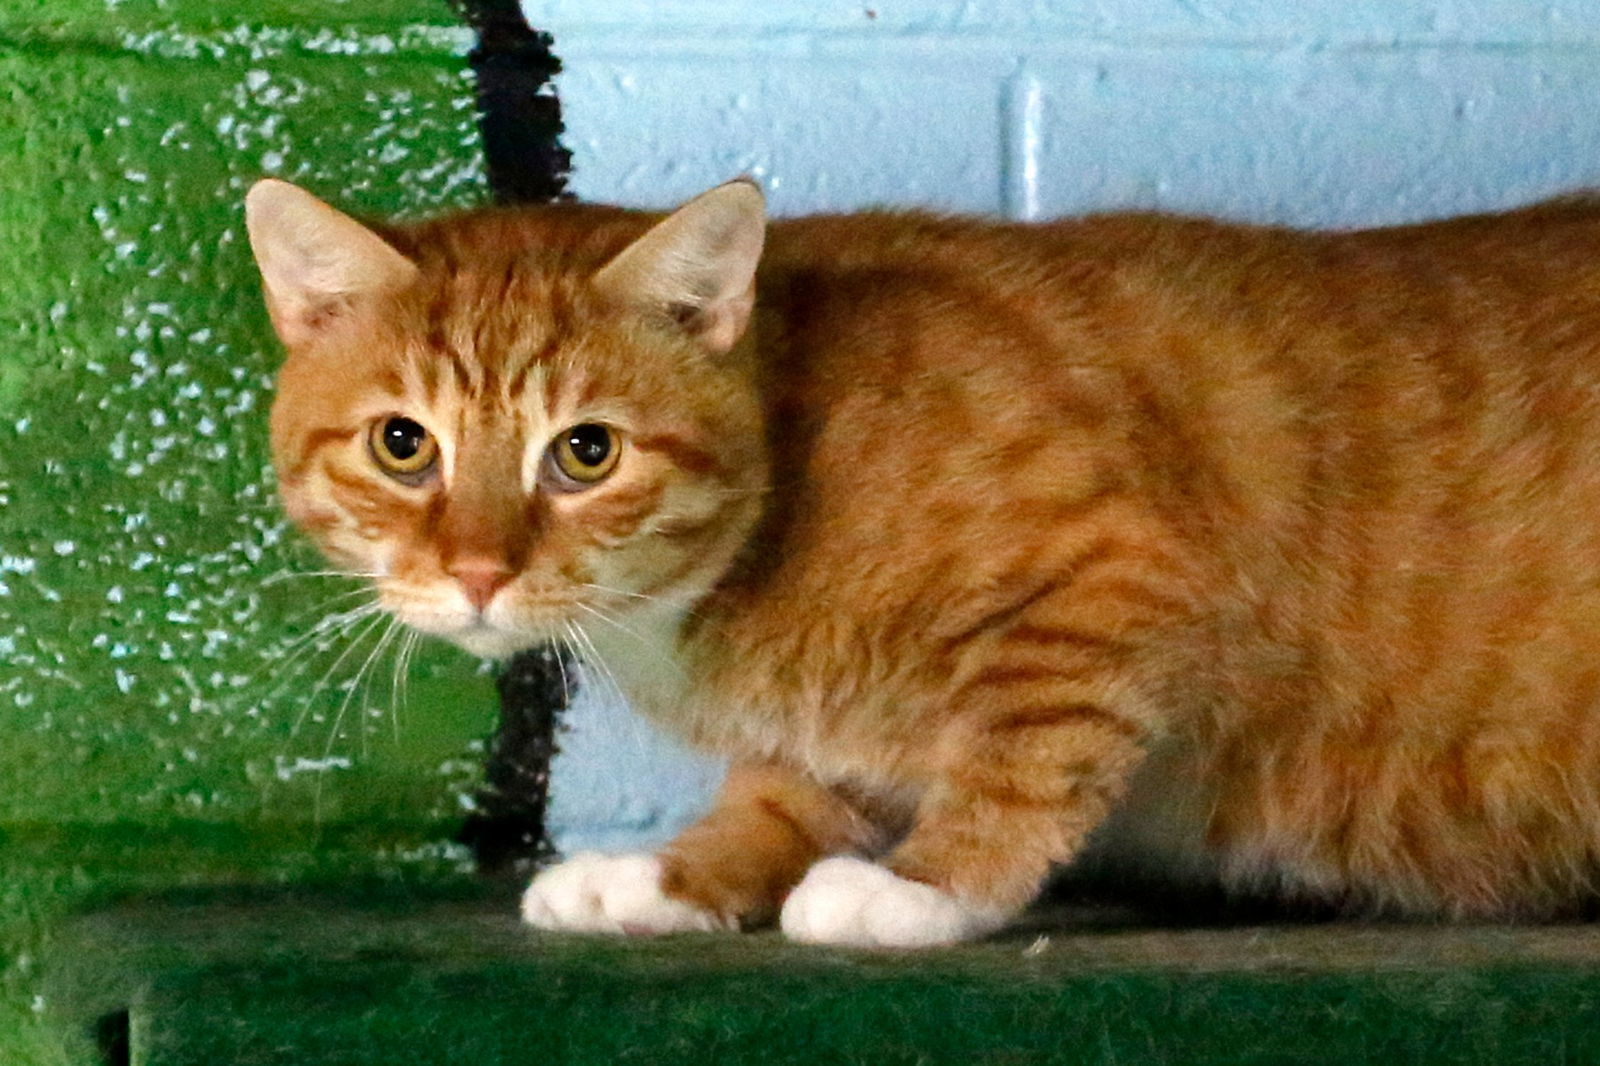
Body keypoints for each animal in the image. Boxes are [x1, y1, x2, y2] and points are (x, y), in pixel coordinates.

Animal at [246, 176, 1600, 947]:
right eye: (403, 444)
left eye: (584, 452)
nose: (477, 571)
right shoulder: (822, 737)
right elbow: (781, 792)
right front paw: (673, 877)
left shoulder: (1114, 577)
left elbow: (1023, 758)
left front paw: (924, 886)